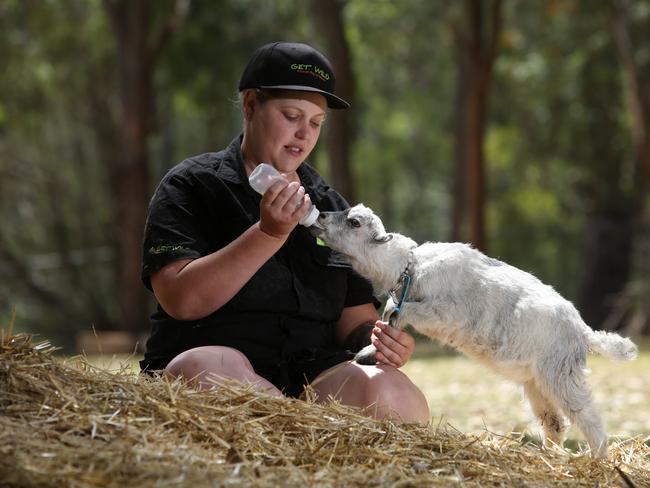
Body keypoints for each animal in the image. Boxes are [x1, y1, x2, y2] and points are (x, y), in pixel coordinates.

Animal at [312, 202, 636, 458]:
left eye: (354, 222)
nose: (322, 215)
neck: (411, 267)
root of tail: (583, 331)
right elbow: (389, 317)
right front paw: (368, 352)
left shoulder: (444, 313)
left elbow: (404, 312)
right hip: (536, 381)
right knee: (554, 422)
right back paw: (548, 455)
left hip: (561, 373)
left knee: (587, 415)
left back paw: (597, 458)